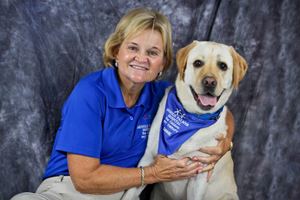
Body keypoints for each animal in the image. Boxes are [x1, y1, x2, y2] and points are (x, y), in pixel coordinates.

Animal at [120, 41, 247, 200]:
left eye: (223, 66)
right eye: (198, 63)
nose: (209, 82)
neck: (191, 116)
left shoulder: (199, 175)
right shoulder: (148, 159)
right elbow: (130, 193)